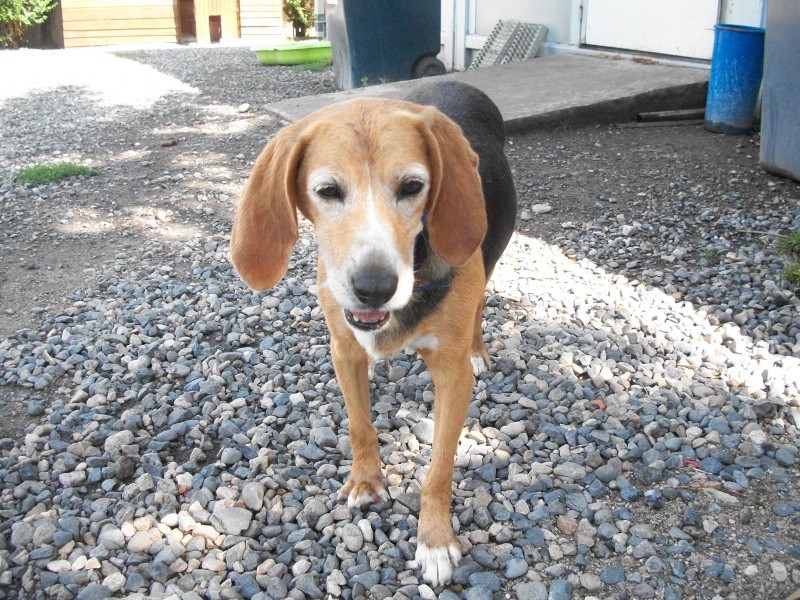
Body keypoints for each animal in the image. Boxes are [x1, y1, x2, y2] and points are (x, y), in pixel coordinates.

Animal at [231, 79, 520, 584]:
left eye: (412, 187)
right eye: (327, 191)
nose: (374, 288)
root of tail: (459, 83)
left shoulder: (452, 375)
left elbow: (440, 467)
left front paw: (435, 539)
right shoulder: (344, 351)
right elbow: (360, 425)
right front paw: (366, 481)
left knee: (482, 302)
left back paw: (480, 350)